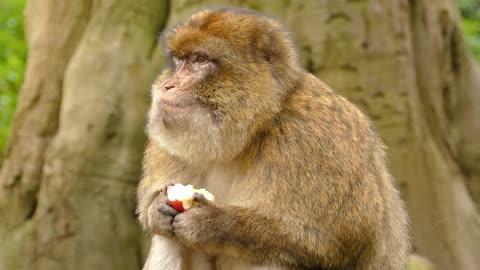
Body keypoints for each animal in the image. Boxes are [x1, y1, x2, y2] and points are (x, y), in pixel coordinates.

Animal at [137, 7, 410, 268]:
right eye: (178, 60)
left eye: (199, 59)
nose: (168, 86)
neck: (252, 132)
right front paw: (157, 208)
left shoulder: (317, 138)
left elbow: (337, 239)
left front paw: (213, 223)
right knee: (170, 240)